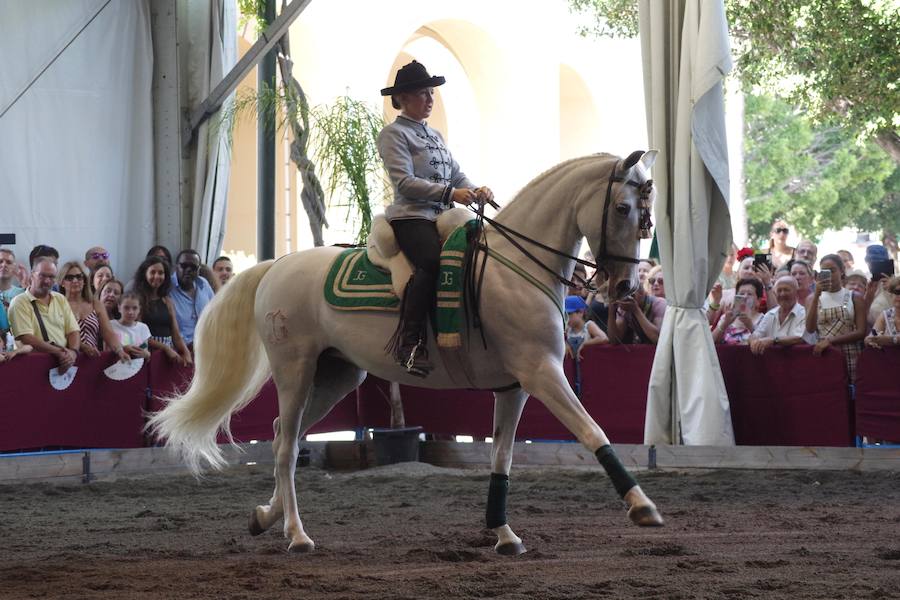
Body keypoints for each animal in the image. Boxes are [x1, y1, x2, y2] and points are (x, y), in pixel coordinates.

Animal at [151, 150, 664, 552]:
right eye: (622, 207)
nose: (625, 288)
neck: (514, 266)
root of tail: (276, 265)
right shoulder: (543, 373)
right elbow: (593, 431)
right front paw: (643, 507)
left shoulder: (515, 386)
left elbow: (501, 458)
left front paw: (503, 534)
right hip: (294, 370)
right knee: (283, 445)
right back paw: (296, 534)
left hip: (336, 377)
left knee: (285, 435)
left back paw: (266, 516)